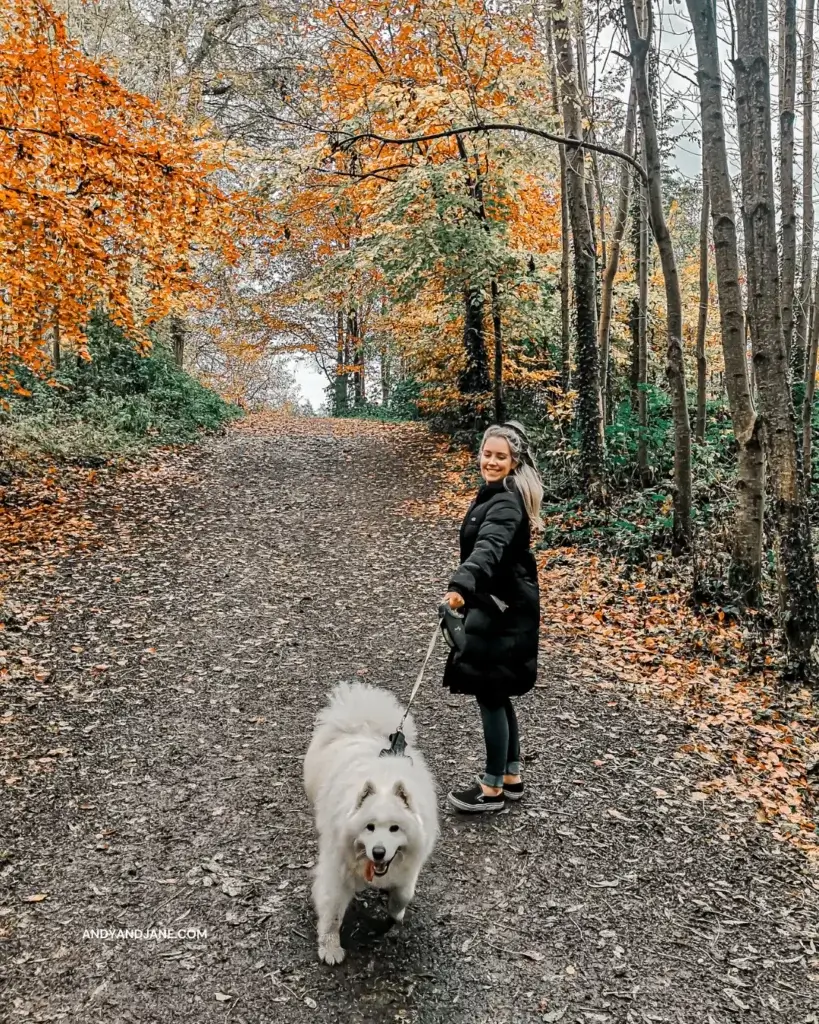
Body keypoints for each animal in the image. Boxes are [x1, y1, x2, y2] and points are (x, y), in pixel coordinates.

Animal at [303, 684, 442, 962]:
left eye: (394, 828)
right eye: (369, 827)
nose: (378, 852)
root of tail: (361, 725)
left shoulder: (410, 866)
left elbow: (404, 894)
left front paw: (395, 913)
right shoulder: (337, 870)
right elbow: (332, 912)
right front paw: (330, 947)